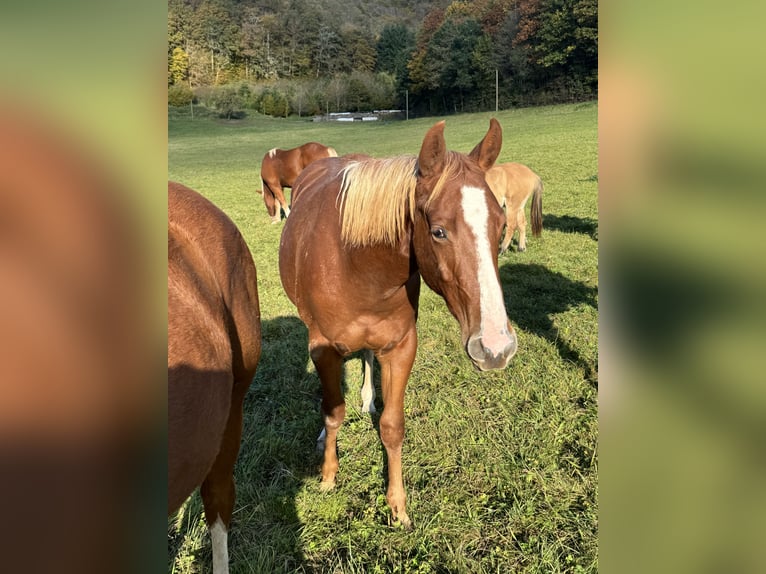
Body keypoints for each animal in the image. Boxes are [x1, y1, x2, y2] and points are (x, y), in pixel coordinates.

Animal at [280, 121, 520, 532]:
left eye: (501, 225)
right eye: (438, 231)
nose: (495, 347)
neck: (355, 263)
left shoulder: (402, 346)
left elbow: (392, 426)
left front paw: (397, 505)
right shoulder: (323, 348)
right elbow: (333, 411)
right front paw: (328, 475)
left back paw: (367, 399)